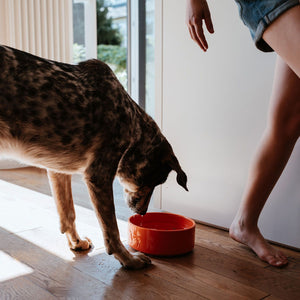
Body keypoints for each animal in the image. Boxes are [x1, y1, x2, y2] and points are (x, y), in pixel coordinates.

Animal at [0, 45, 188, 270]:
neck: (134, 122)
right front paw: (129, 260)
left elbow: (68, 213)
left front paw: (76, 242)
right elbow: (112, 230)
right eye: (155, 181)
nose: (142, 213)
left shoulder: (58, 170)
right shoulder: (98, 176)